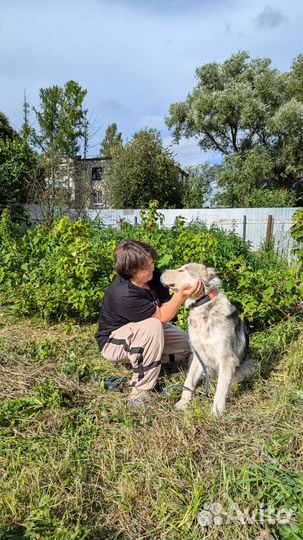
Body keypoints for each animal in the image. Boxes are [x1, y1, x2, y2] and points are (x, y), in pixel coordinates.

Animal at [160, 262, 255, 418]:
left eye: (182, 270)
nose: (161, 271)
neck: (203, 304)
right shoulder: (199, 355)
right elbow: (189, 381)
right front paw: (183, 403)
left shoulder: (227, 359)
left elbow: (220, 391)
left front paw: (216, 412)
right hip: (193, 357)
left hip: (249, 367)